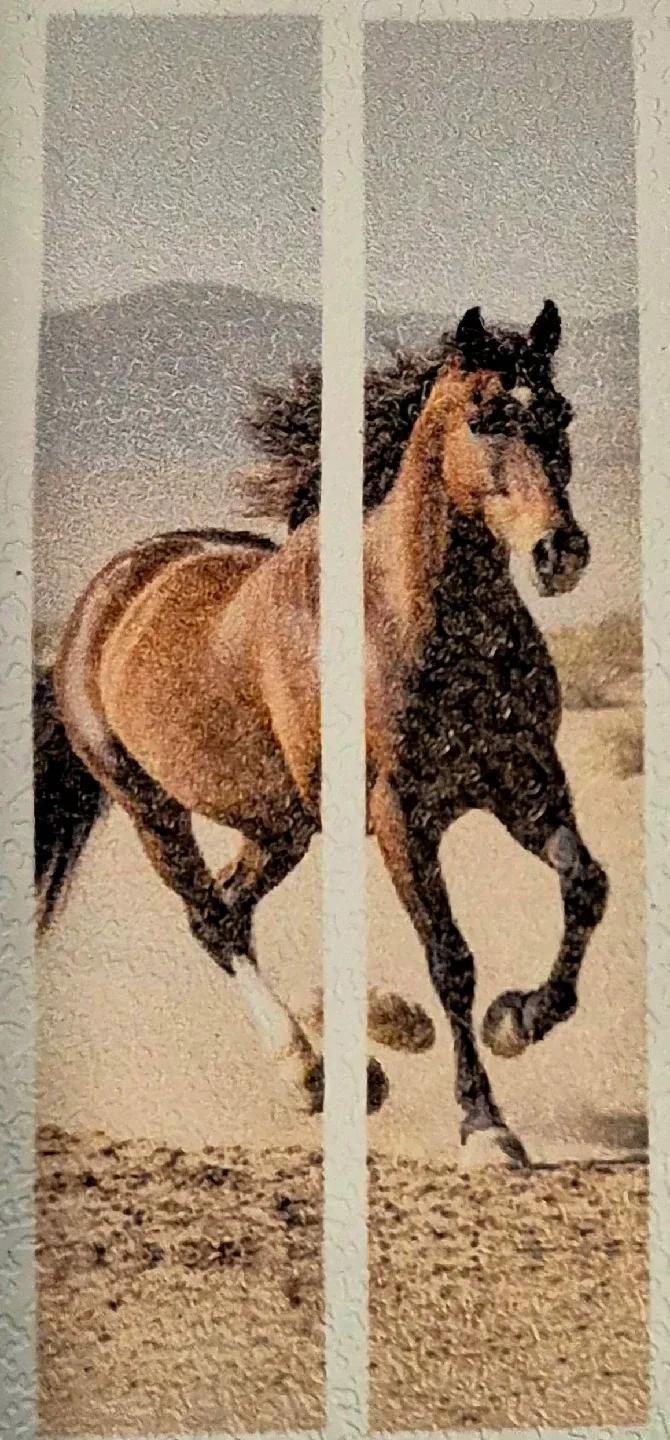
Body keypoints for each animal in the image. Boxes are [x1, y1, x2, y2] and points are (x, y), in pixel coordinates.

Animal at [34, 313, 606, 1165]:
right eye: (486, 418)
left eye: (561, 415)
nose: (559, 552)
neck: (409, 616)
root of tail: (103, 597)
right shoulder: (400, 815)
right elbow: (450, 957)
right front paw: (484, 1125)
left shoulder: (529, 784)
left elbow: (584, 885)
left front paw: (517, 1019)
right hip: (148, 807)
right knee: (211, 920)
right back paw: (310, 1069)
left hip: (282, 826)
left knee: (232, 907)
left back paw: (356, 1059)